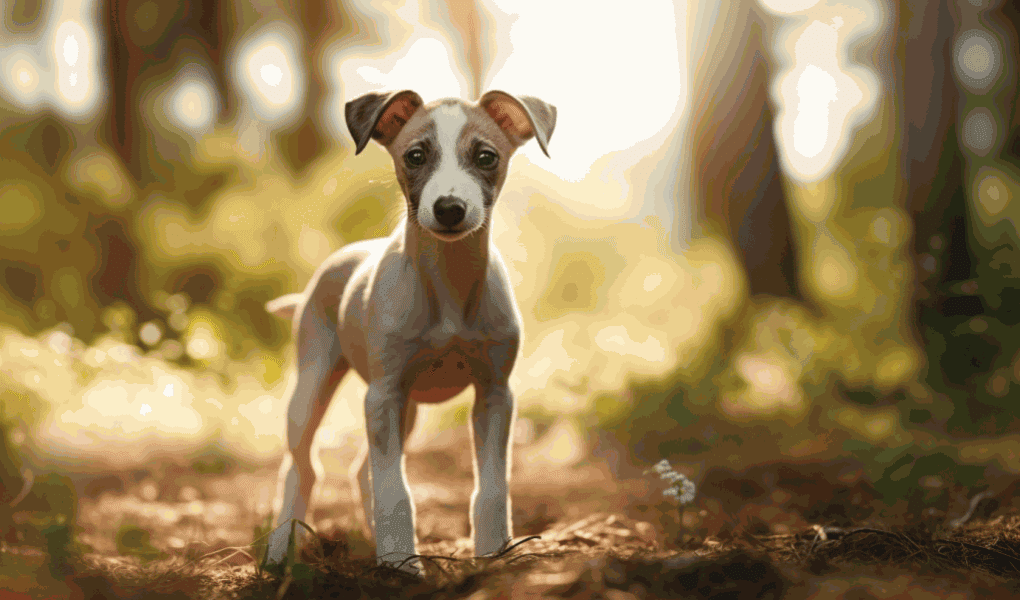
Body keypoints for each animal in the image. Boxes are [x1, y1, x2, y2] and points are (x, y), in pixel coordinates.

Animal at [259, 90, 554, 575]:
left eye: (486, 157)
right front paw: (400, 563)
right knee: (300, 468)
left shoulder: (494, 394)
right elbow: (394, 489)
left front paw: (493, 554)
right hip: (314, 386)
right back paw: (280, 552)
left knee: (361, 470)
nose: (450, 208)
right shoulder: (383, 394)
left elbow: (492, 487)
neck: (448, 282)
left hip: (408, 408)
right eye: (415, 155)